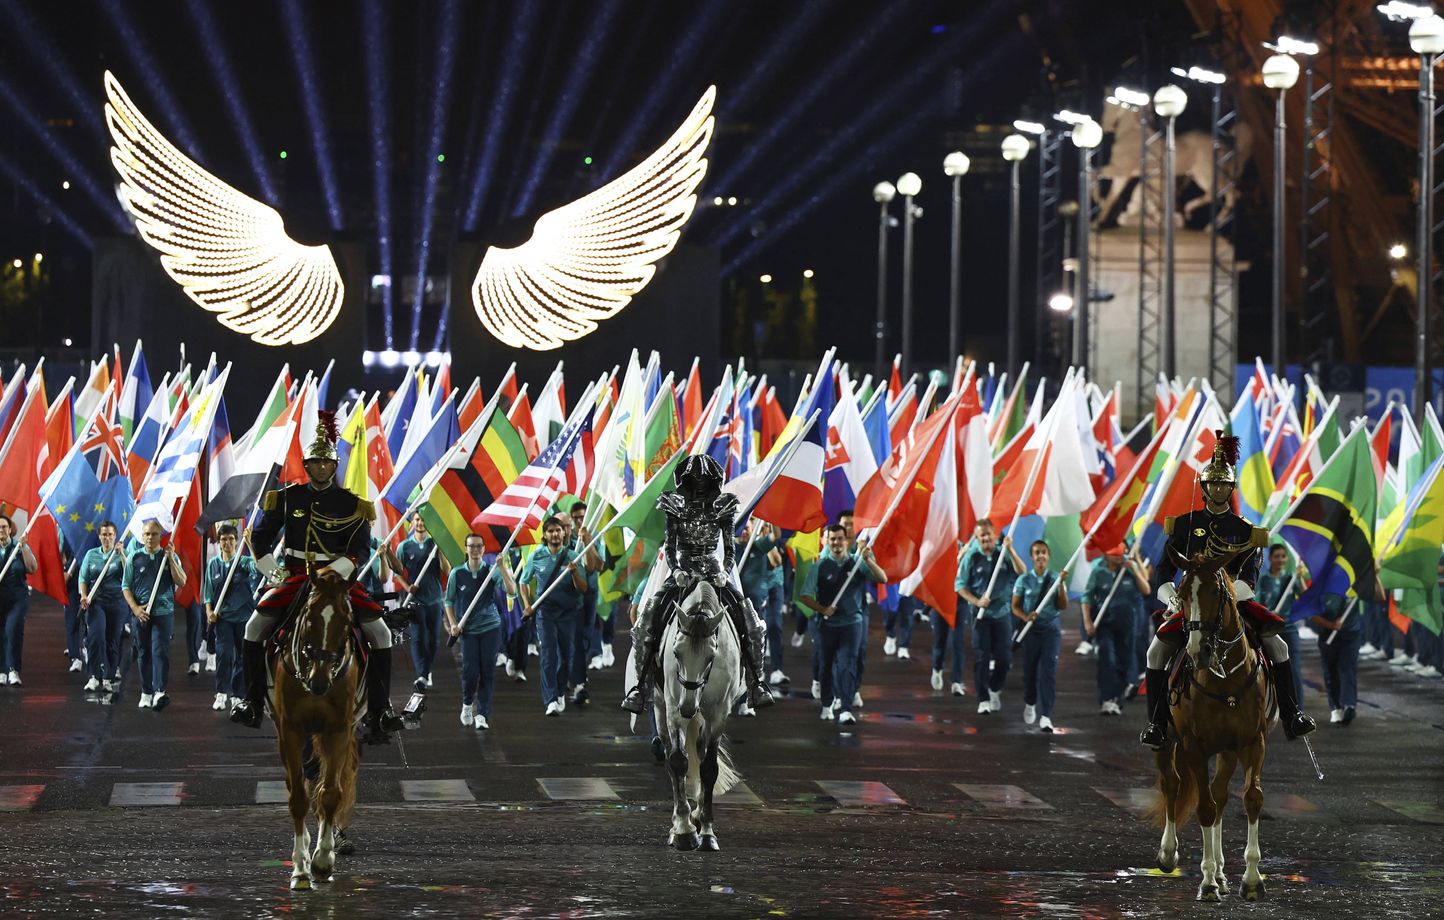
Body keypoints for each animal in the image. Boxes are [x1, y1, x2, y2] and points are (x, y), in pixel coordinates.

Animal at [270, 571, 361, 883]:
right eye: (309, 616)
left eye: (347, 619)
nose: (319, 681)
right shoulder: (290, 730)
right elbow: (298, 796)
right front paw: (300, 868)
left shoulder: (338, 730)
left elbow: (331, 793)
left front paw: (323, 860)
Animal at [626, 577, 739, 849]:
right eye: (676, 653)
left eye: (711, 655)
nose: (688, 707)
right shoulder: (672, 708)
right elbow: (678, 762)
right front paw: (684, 831)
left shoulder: (719, 712)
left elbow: (709, 768)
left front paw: (707, 832)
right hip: (660, 705)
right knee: (671, 754)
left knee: (699, 749)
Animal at [1149, 548, 1276, 901]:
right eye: (1181, 595)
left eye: (1217, 592)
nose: (1198, 650)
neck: (1225, 678)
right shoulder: (1194, 747)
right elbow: (1203, 806)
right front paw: (1206, 882)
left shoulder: (1253, 743)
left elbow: (1251, 799)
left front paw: (1251, 880)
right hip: (1167, 742)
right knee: (1172, 785)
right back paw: (1169, 854)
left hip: (1228, 752)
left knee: (1220, 794)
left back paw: (1220, 870)